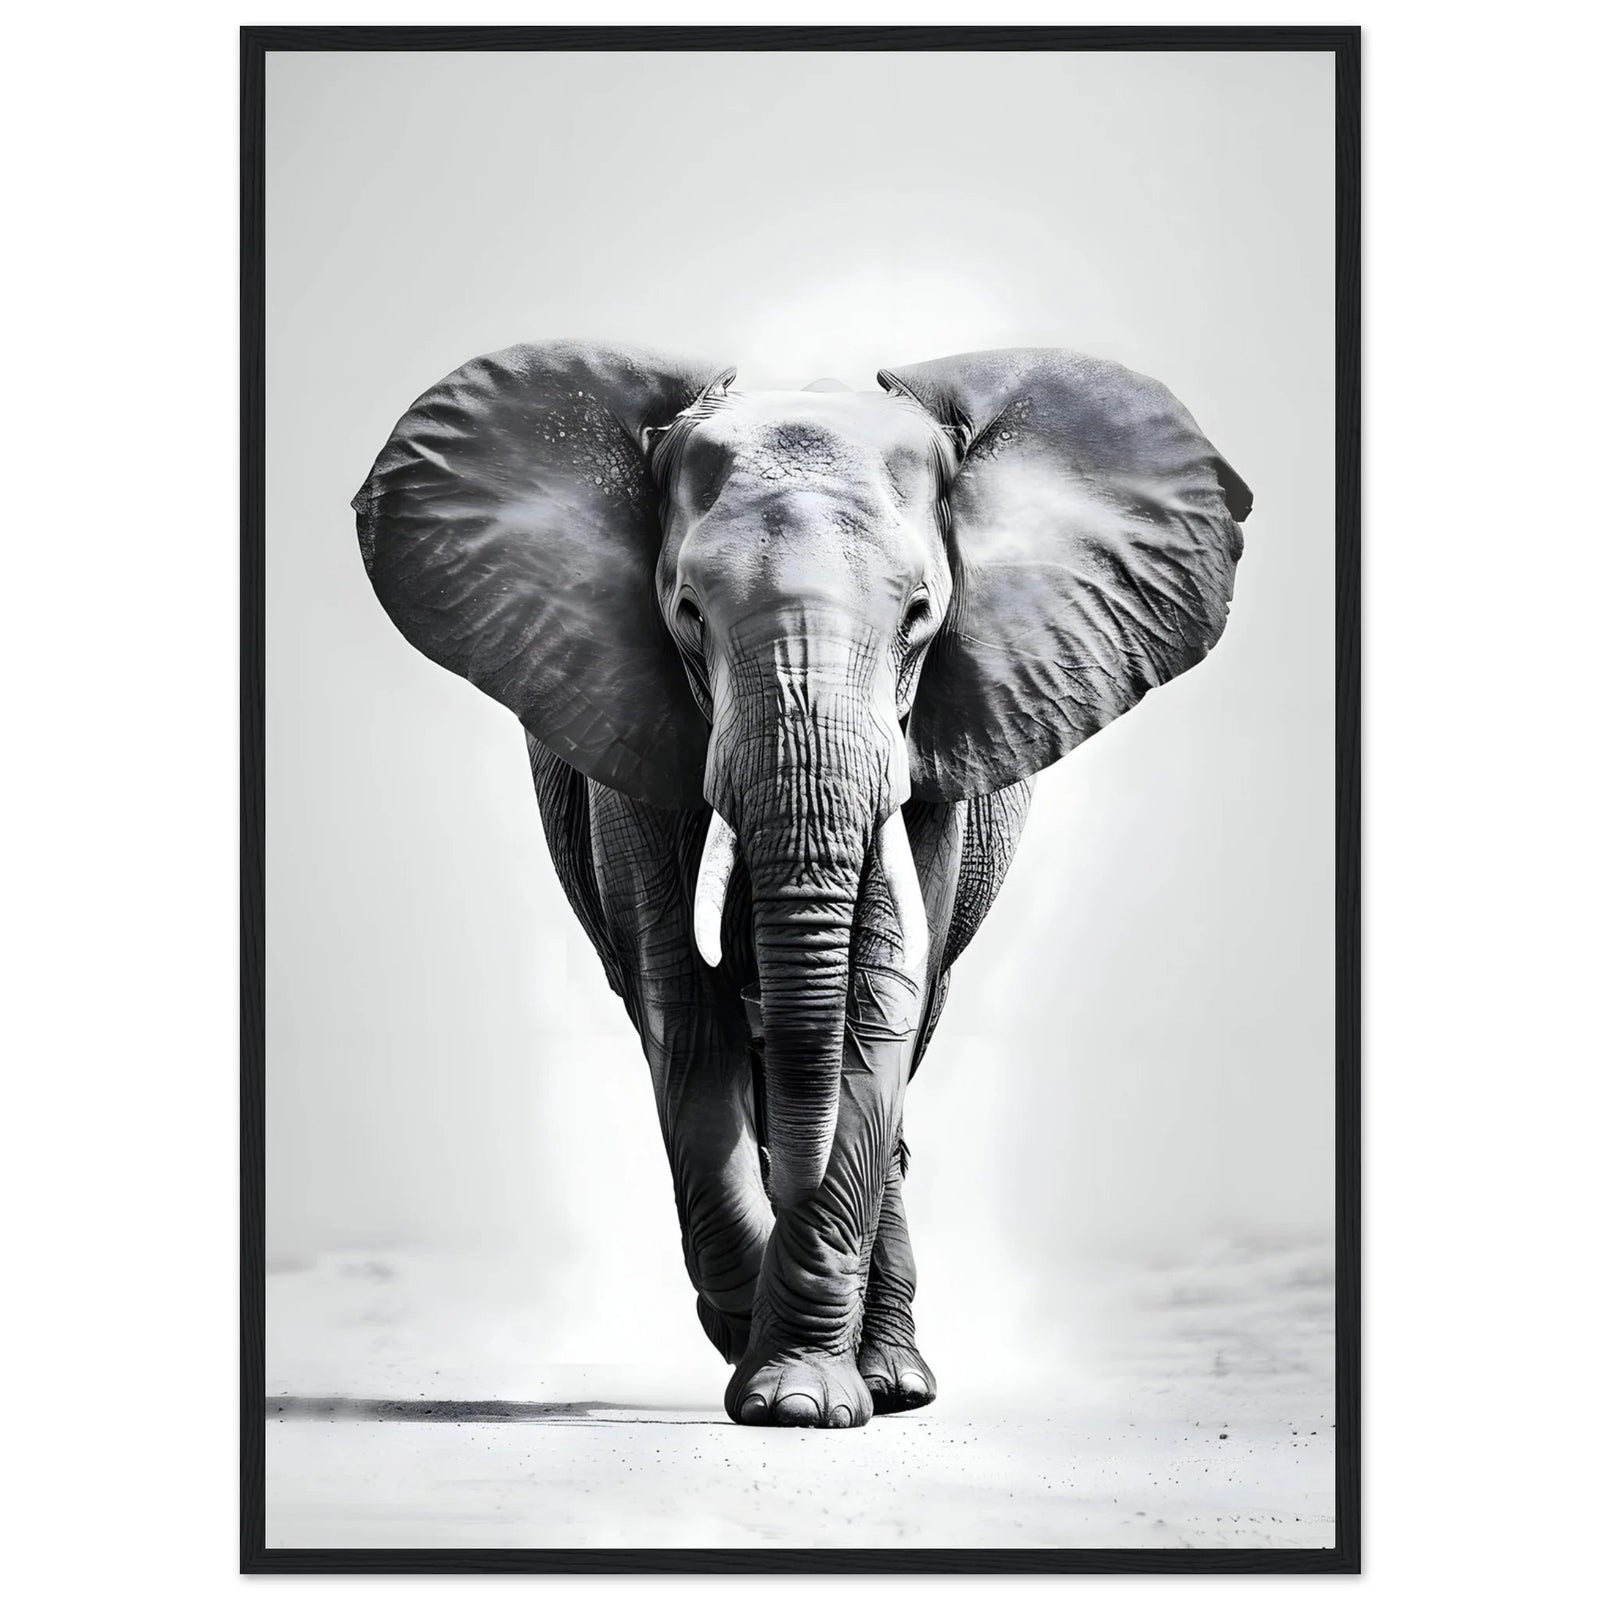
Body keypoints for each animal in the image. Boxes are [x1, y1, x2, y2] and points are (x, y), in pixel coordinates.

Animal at [353, 340, 1251, 1429]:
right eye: (688, 615)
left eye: (920, 617)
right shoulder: (631, 732)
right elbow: (684, 1008)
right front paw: (759, 1355)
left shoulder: (933, 746)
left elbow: (876, 1004)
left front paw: (800, 1398)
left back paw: (893, 1378)